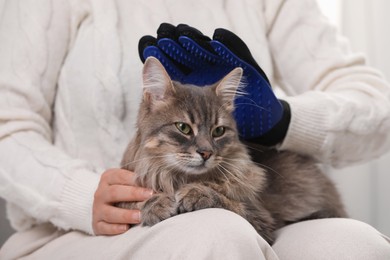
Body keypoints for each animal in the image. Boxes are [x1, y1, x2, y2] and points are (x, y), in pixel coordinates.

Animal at [119, 56, 348, 244]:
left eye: (218, 131)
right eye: (183, 128)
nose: (206, 153)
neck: (181, 178)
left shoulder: (261, 218)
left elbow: (229, 202)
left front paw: (198, 193)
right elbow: (132, 203)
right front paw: (155, 203)